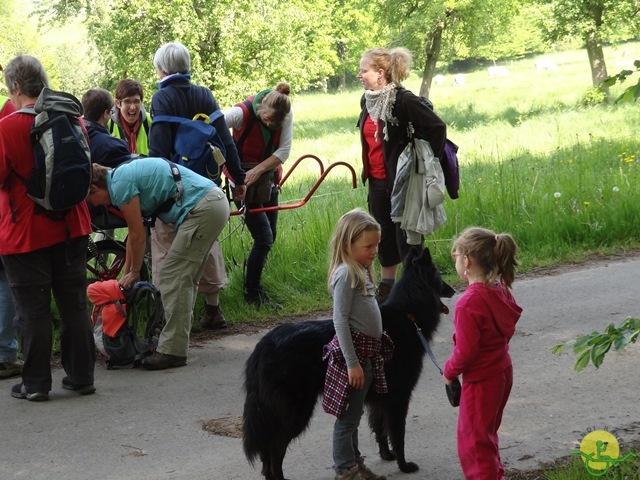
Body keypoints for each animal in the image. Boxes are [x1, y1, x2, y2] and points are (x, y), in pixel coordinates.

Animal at [241, 248, 456, 480]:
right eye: (438, 277)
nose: (453, 290)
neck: (407, 315)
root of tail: (262, 347)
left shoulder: (380, 399)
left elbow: (380, 428)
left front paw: (386, 455)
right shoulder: (399, 397)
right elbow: (398, 434)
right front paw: (403, 465)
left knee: (267, 452)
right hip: (295, 411)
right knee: (275, 448)